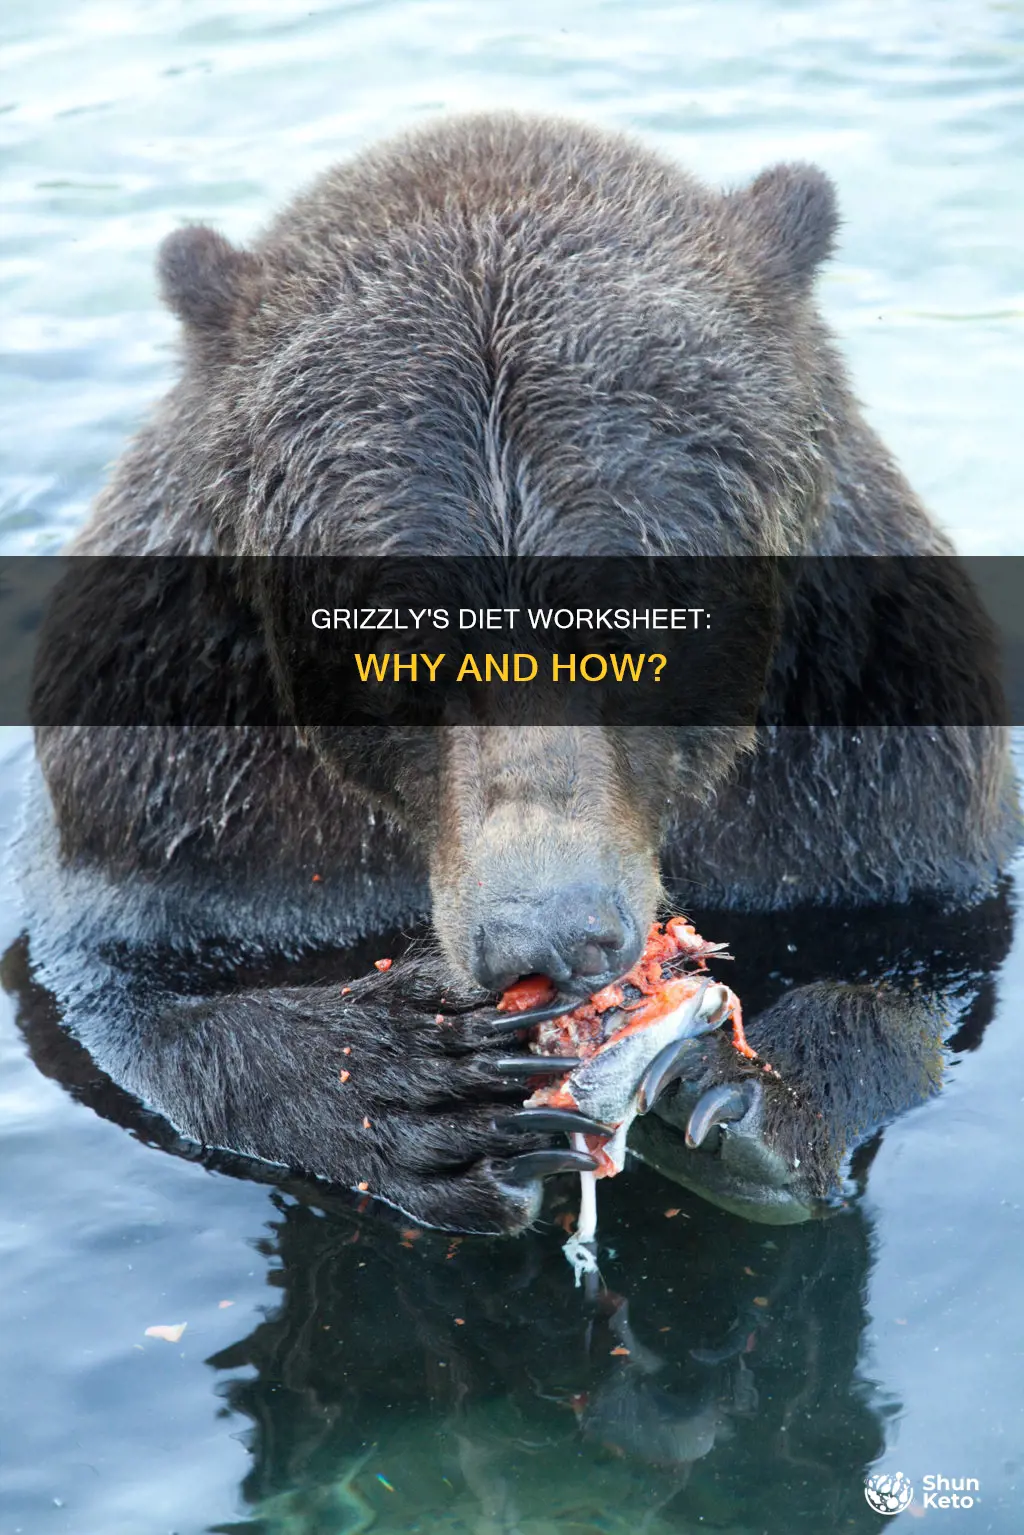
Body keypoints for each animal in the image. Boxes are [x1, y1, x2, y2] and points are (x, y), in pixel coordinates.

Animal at [17, 112, 1019, 1234]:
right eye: (394, 642)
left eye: (640, 626)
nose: (549, 935)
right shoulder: (177, 794)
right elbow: (122, 994)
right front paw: (415, 1089)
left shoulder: (867, 749)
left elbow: (930, 938)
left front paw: (752, 1091)